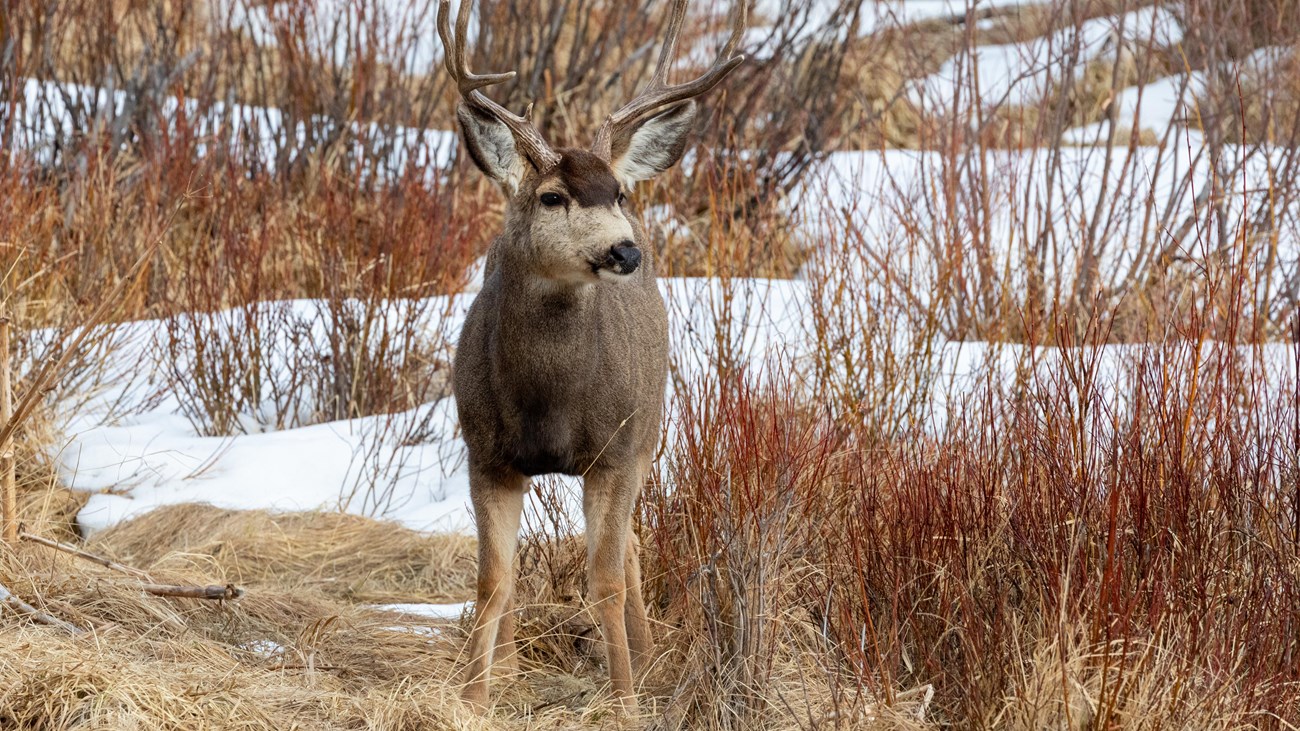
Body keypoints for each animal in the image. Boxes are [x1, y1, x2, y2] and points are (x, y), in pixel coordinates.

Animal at [438, 0, 745, 711]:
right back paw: (511, 669)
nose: (624, 249)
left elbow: (603, 580)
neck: (548, 402)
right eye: (552, 195)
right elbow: (493, 581)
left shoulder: (616, 448)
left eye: (618, 195)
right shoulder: (486, 452)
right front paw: (473, 697)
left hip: (649, 427)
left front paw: (627, 700)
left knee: (629, 547)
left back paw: (647, 659)